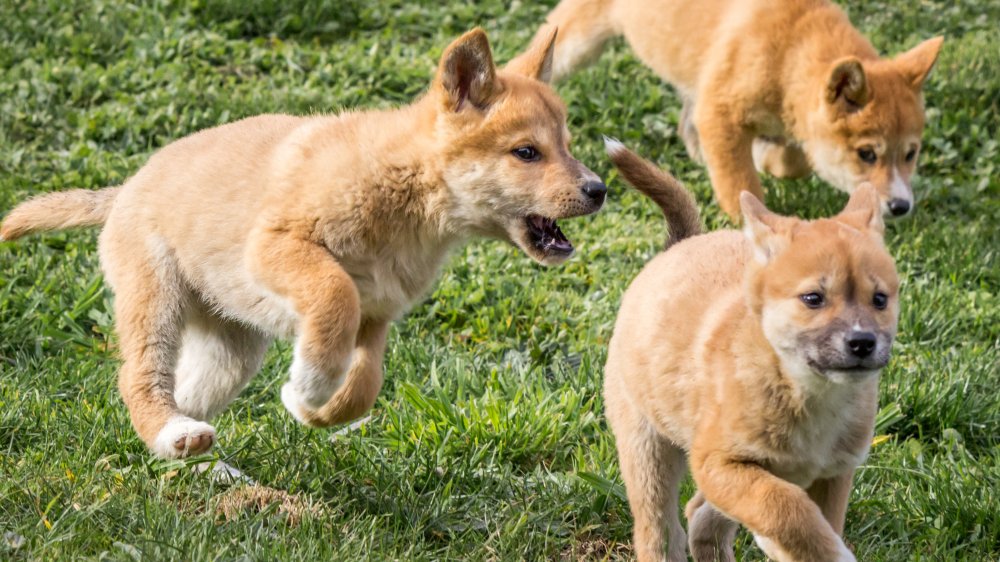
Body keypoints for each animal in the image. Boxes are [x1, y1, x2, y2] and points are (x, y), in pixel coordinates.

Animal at [1, 28, 608, 460]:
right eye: (526, 152)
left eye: (568, 144)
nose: (599, 190)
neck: (408, 195)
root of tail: (124, 189)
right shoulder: (281, 248)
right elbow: (334, 298)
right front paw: (310, 386)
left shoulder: (380, 312)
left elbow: (366, 383)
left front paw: (313, 409)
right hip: (157, 299)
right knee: (139, 380)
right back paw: (174, 435)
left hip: (230, 350)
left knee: (187, 397)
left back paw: (194, 455)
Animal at [536, 0, 940, 219]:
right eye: (867, 154)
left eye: (911, 154)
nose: (901, 206)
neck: (788, 54)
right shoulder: (720, 114)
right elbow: (741, 187)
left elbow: (794, 162)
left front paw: (769, 156)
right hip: (578, 39)